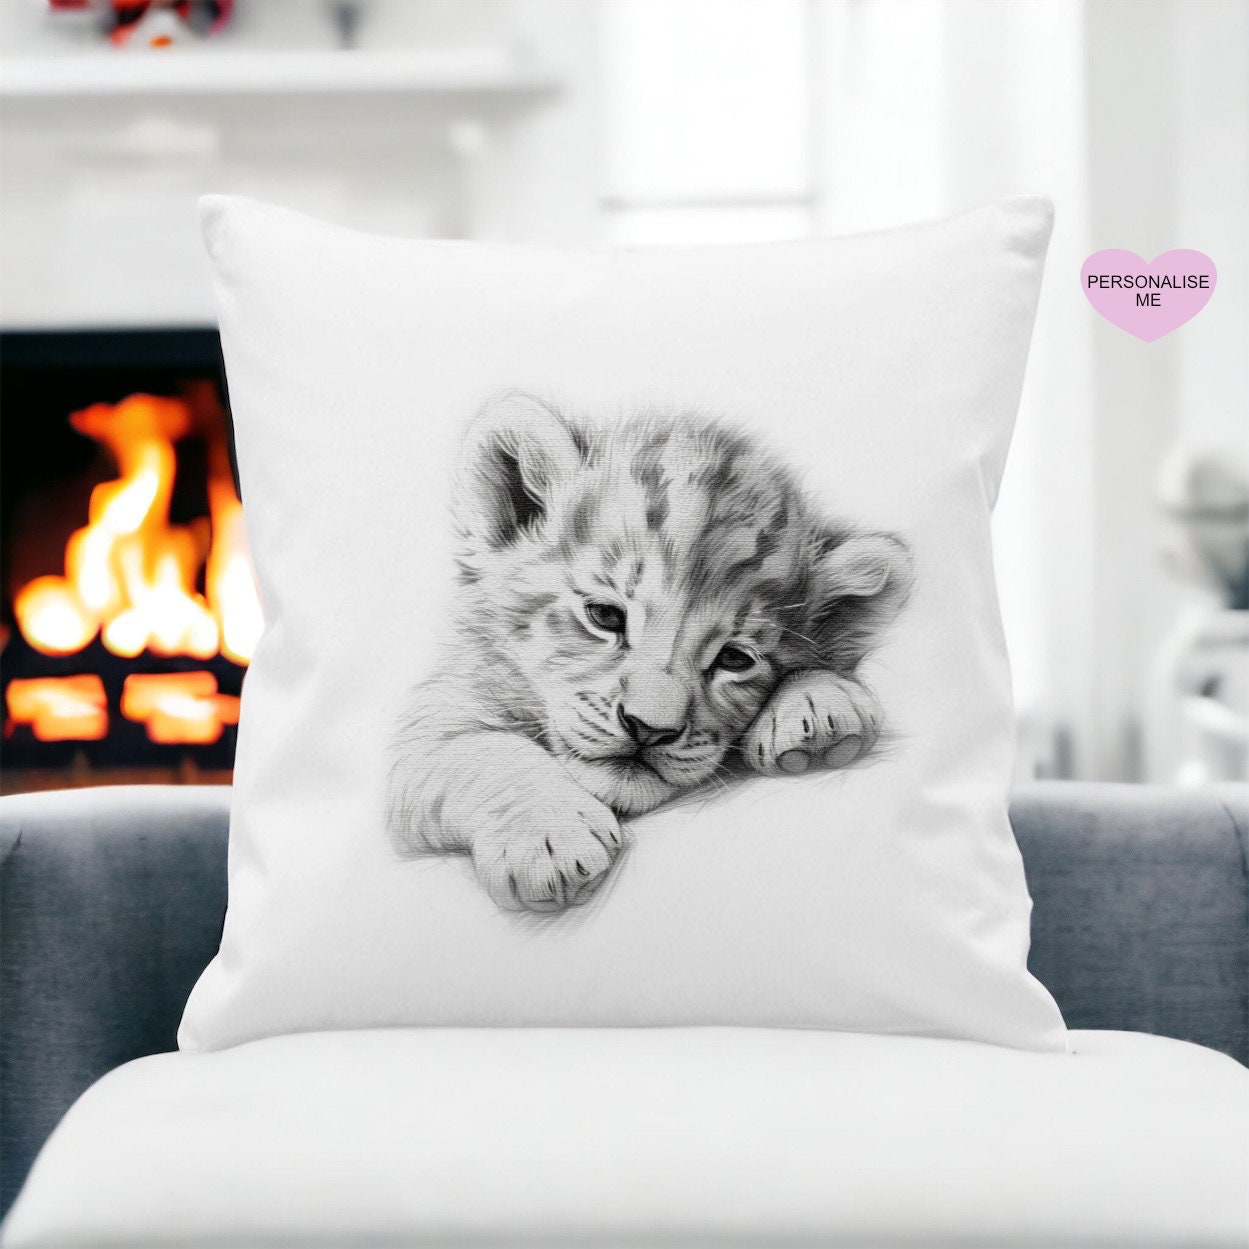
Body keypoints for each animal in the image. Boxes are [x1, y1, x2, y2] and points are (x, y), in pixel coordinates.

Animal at [387, 392, 912, 912]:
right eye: (604, 615)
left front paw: (820, 705)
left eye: (734, 658)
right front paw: (550, 838)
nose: (649, 729)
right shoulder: (434, 721)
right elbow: (481, 751)